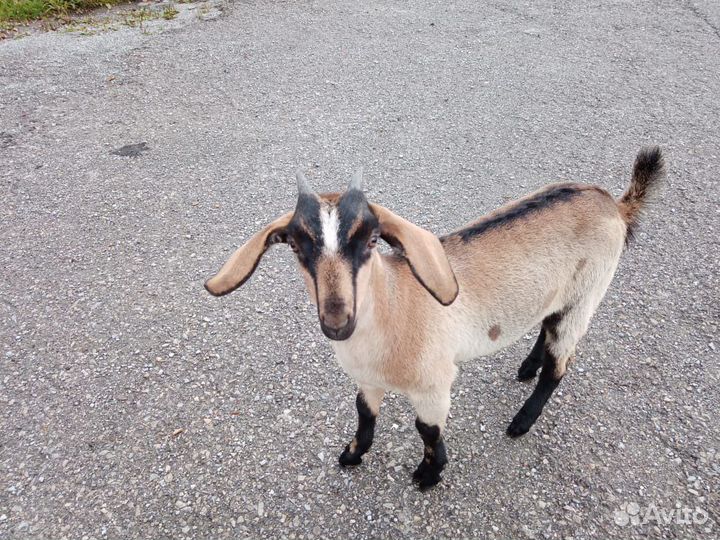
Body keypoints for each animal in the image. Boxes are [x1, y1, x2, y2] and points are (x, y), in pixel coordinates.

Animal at [204, 147, 665, 490]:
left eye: (371, 240)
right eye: (297, 247)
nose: (337, 320)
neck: (394, 309)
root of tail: (613, 204)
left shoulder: (434, 384)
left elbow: (427, 431)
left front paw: (428, 475)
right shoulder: (367, 380)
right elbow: (364, 415)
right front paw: (352, 454)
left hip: (586, 293)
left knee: (560, 364)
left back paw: (521, 421)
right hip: (560, 295)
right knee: (546, 329)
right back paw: (525, 367)